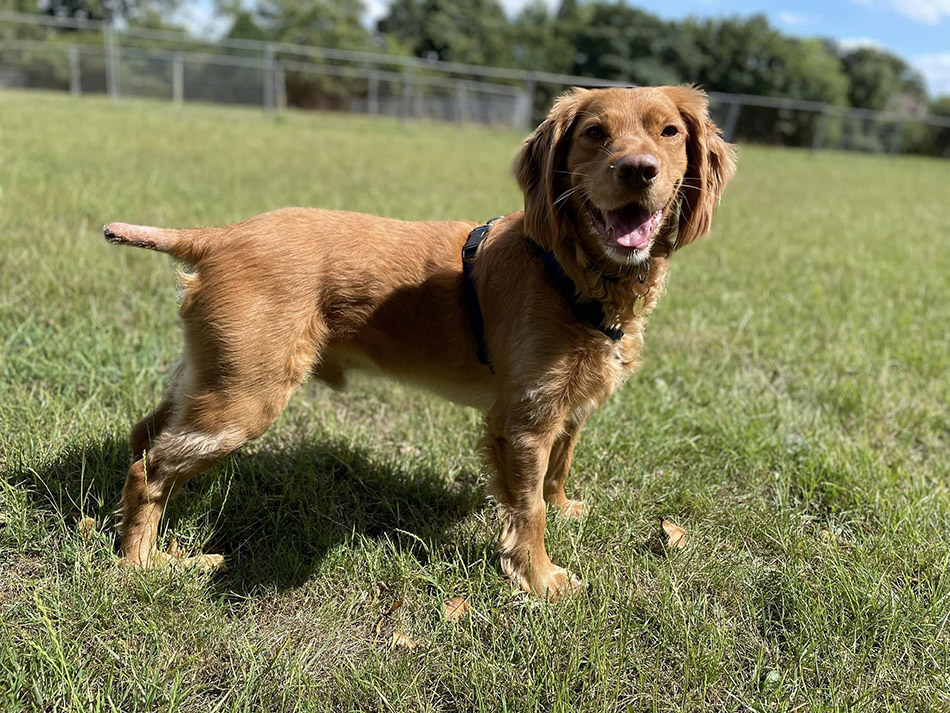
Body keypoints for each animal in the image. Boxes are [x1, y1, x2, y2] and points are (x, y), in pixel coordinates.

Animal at [108, 83, 740, 596]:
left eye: (669, 131)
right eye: (594, 133)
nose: (638, 169)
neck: (569, 271)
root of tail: (216, 236)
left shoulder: (570, 405)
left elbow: (558, 471)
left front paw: (566, 510)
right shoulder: (524, 420)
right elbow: (528, 506)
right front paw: (540, 580)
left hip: (210, 377)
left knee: (142, 437)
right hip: (244, 397)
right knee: (149, 469)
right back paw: (143, 565)